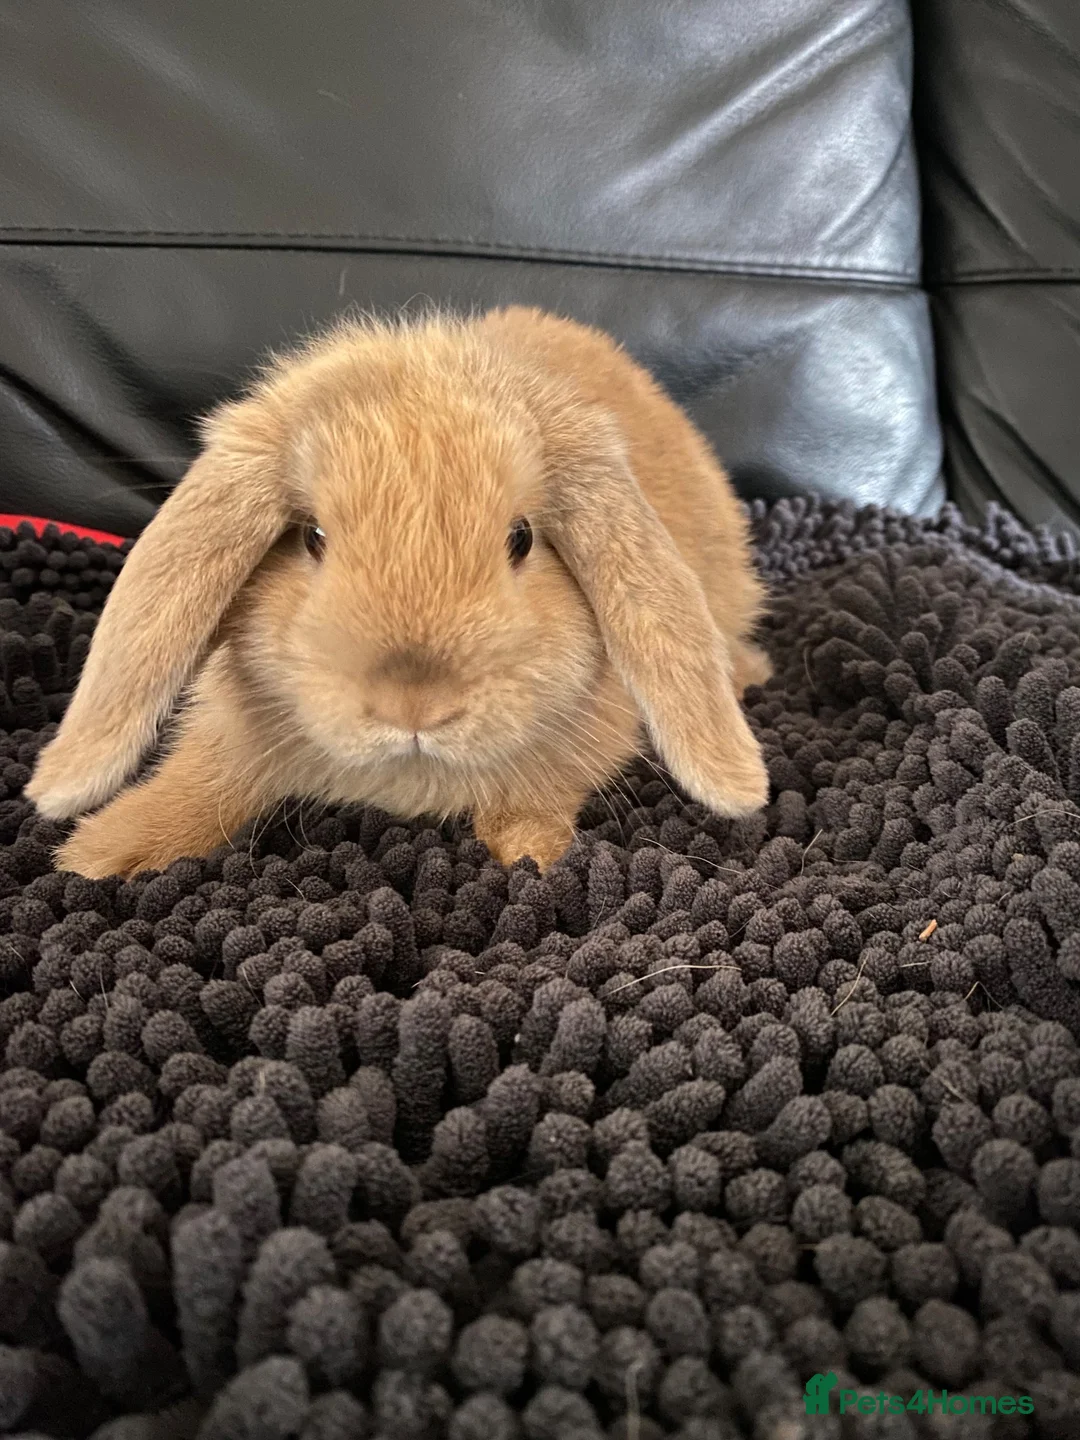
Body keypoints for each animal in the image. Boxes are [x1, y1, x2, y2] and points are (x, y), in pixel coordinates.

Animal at [26, 305, 771, 879]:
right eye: (313, 537)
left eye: (522, 539)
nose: (414, 705)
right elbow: (198, 783)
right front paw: (100, 852)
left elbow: (532, 796)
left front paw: (529, 856)